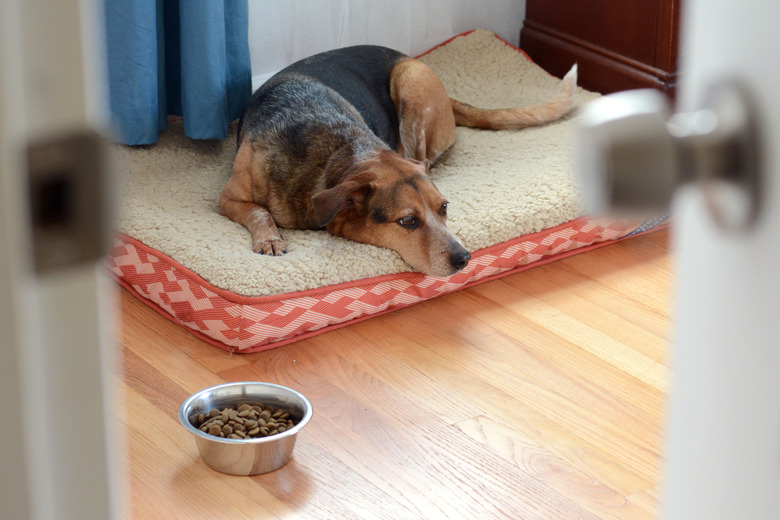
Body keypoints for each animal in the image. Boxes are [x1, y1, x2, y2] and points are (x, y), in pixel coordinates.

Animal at [216, 43, 576, 276]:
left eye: (444, 208)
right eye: (408, 222)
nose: (465, 258)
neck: (334, 157)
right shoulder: (227, 198)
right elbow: (260, 211)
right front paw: (270, 239)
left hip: (411, 81)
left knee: (421, 153)